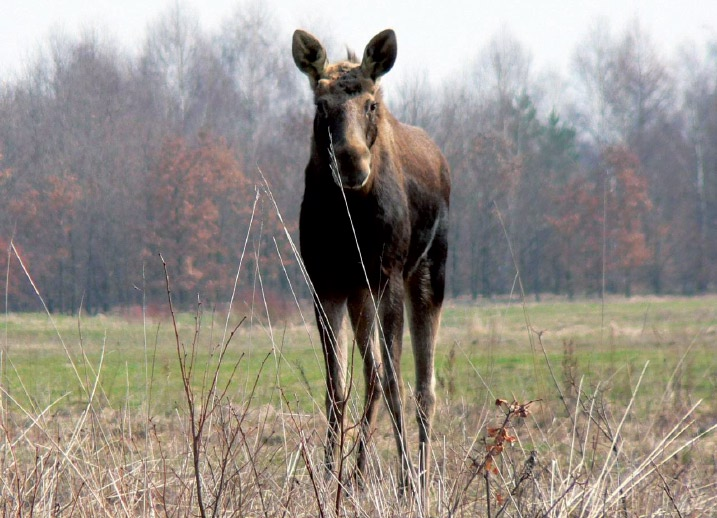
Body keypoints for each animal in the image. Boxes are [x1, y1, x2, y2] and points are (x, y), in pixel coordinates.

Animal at [290, 29, 448, 508]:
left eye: (371, 104)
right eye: (321, 105)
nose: (352, 162)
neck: (349, 220)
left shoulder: (388, 275)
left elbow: (398, 384)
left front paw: (406, 484)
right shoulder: (325, 283)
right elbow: (336, 387)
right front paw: (329, 478)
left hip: (428, 271)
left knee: (424, 388)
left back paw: (420, 477)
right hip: (360, 293)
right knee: (372, 374)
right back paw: (357, 475)